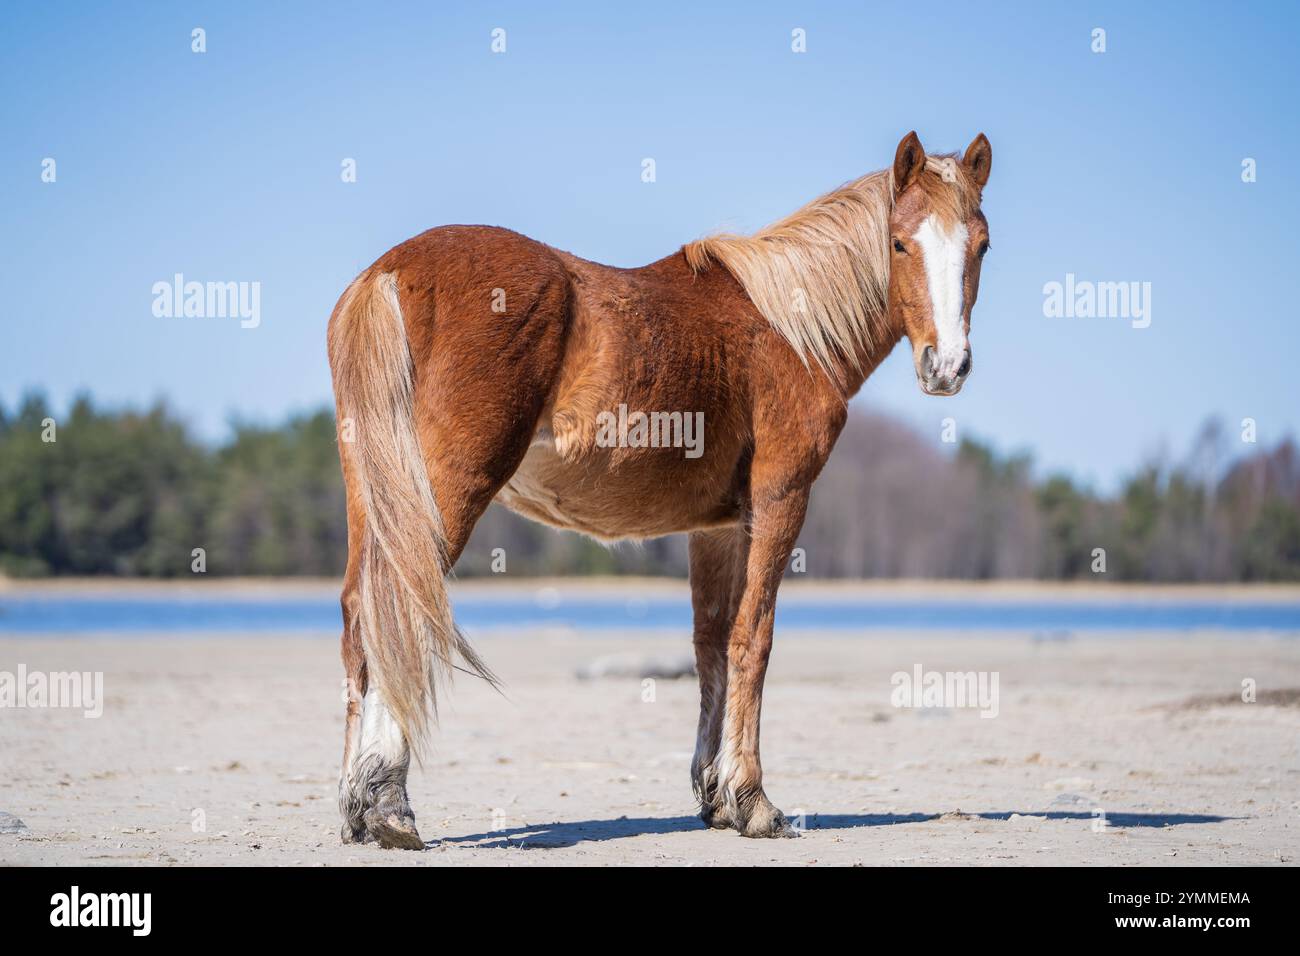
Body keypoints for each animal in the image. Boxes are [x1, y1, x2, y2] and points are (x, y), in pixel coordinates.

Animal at [327, 130, 992, 847]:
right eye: (899, 243)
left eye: (982, 244)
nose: (946, 366)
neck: (787, 328)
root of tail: (388, 272)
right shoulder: (780, 500)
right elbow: (752, 639)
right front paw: (755, 802)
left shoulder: (718, 527)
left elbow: (711, 648)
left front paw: (717, 797)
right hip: (442, 494)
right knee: (403, 604)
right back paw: (390, 805)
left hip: (375, 496)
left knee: (361, 617)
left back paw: (357, 807)